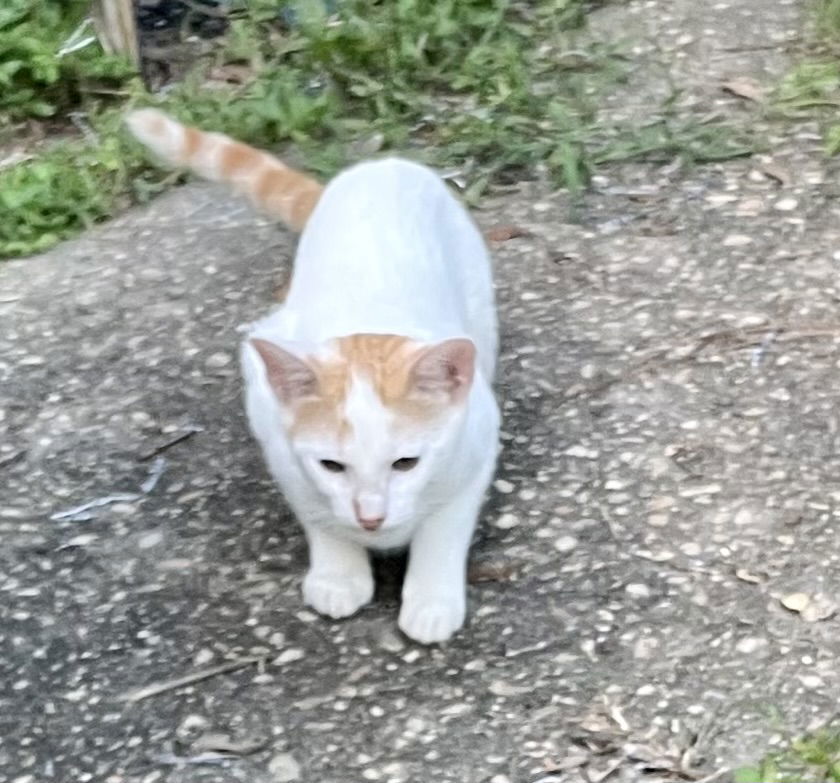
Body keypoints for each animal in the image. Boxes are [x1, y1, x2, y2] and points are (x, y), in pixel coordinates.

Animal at [124, 108, 498, 644]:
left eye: (406, 463)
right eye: (332, 466)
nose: (371, 517)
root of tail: (379, 166)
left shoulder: (479, 441)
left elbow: (445, 525)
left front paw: (431, 597)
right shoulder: (273, 434)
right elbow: (315, 510)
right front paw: (338, 572)